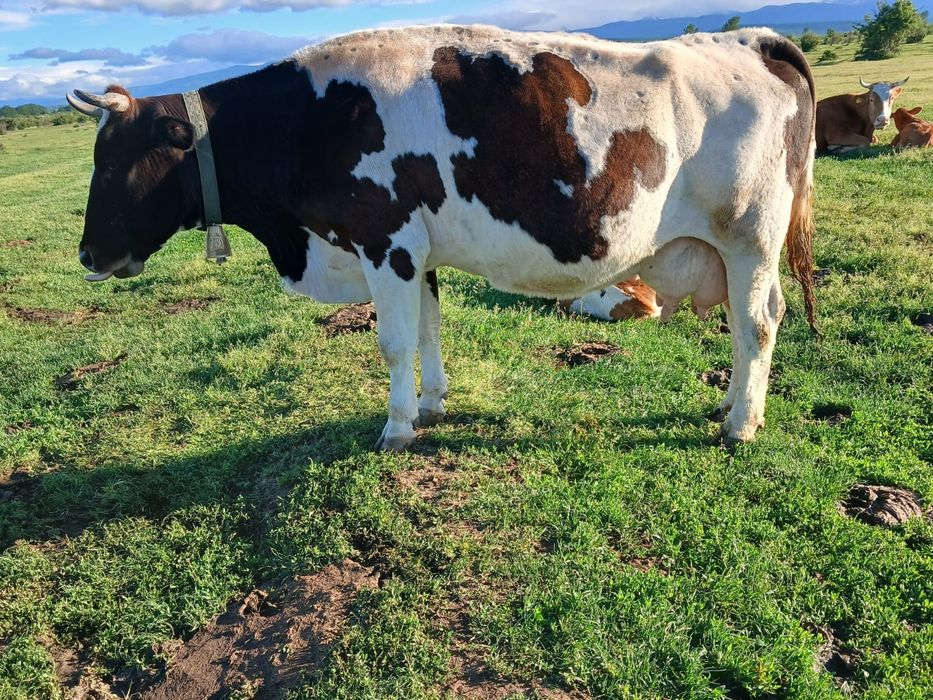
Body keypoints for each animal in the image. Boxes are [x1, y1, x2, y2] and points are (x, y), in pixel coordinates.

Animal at [67, 25, 816, 449]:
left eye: (113, 160)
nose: (87, 254)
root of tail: (750, 40)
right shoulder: (415, 253)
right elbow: (428, 329)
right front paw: (430, 405)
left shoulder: (386, 243)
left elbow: (395, 343)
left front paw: (397, 425)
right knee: (746, 326)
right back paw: (729, 402)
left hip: (749, 238)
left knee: (758, 322)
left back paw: (740, 424)